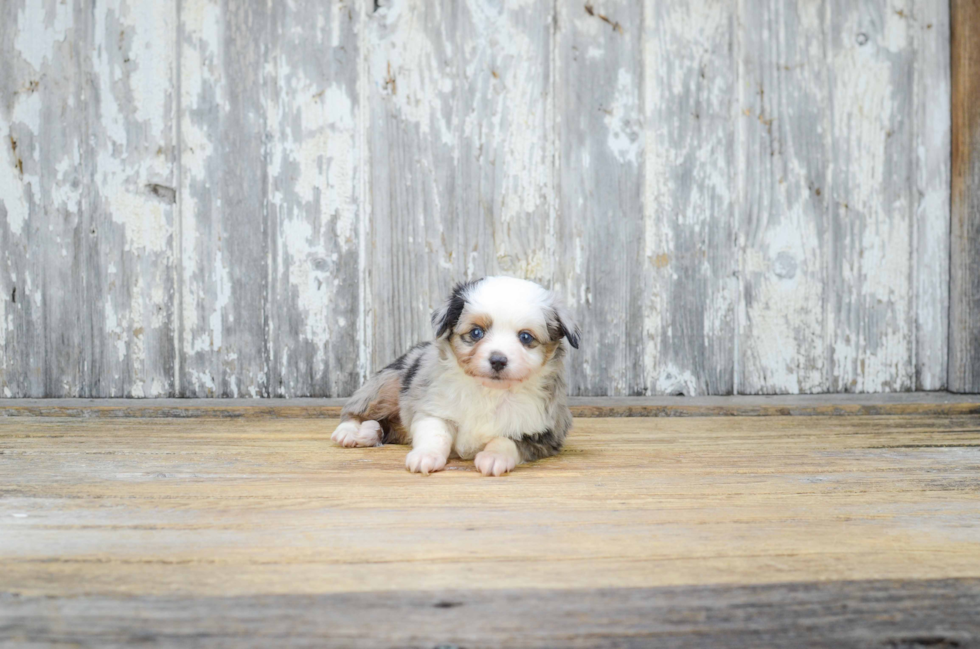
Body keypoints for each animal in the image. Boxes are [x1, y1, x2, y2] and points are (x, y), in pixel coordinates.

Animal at [334, 274, 580, 476]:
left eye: (526, 337)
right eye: (476, 333)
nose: (498, 360)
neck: (490, 392)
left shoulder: (544, 431)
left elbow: (507, 440)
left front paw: (494, 458)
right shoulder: (433, 408)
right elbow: (436, 435)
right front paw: (426, 456)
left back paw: (368, 433)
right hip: (388, 384)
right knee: (356, 410)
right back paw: (350, 432)